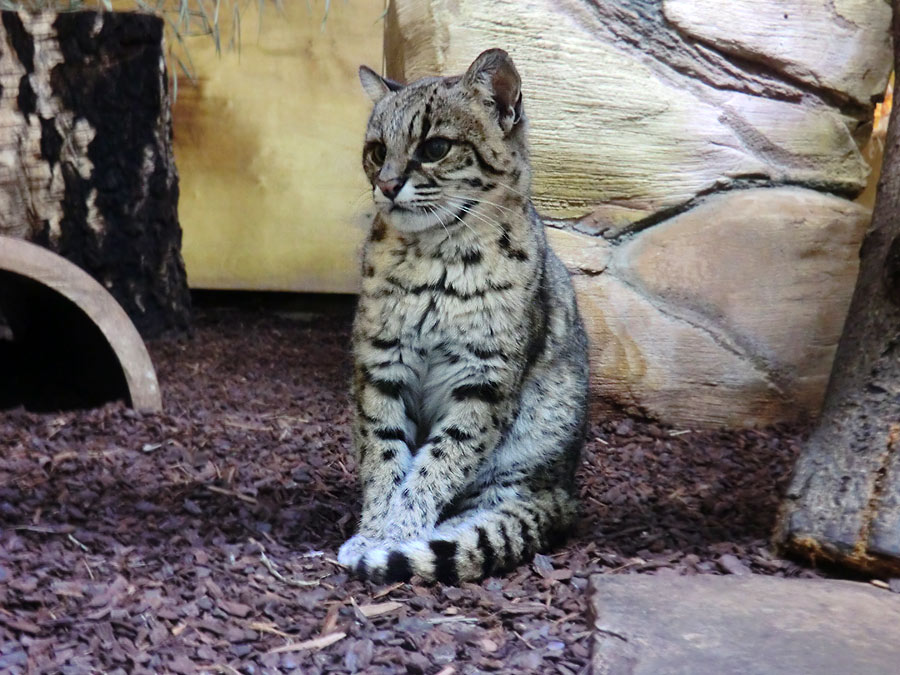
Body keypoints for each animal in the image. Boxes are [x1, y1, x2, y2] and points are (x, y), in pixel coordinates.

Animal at [338, 48, 592, 588]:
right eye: (376, 150)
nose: (386, 185)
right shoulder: (381, 366)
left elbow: (440, 461)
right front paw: (375, 532)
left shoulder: (484, 379)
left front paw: (393, 538)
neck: (436, 260)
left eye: (434, 147)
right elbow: (383, 454)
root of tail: (565, 493)